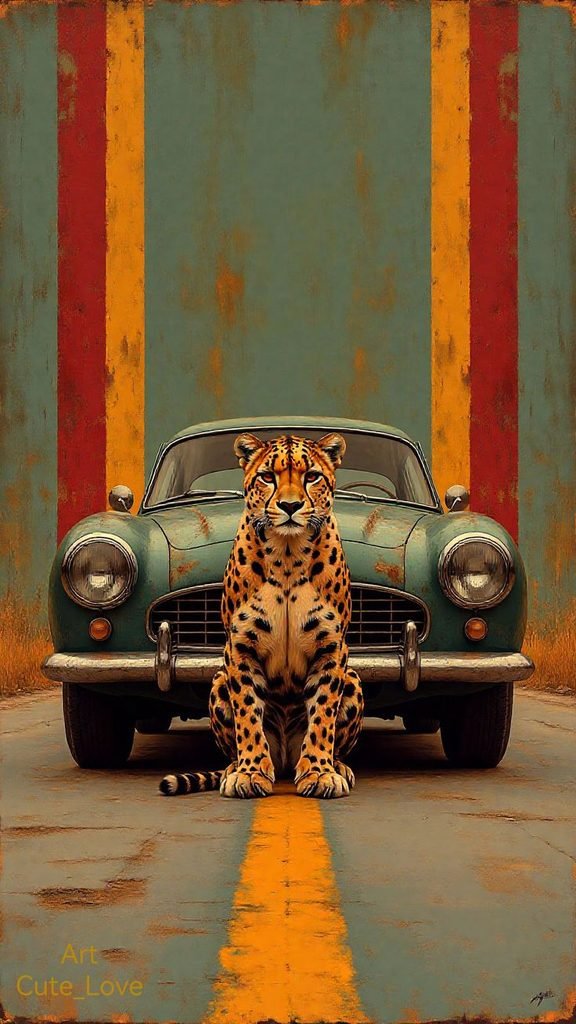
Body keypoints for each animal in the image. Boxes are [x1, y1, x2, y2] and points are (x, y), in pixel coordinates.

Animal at [160, 431, 364, 799]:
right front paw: (250, 772)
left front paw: (320, 772)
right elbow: (247, 714)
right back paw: (234, 768)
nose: (290, 506)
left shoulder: (332, 647)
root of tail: (284, 761)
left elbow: (323, 714)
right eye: (268, 477)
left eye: (311, 476)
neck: (288, 555)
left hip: (353, 678)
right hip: (218, 680)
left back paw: (338, 766)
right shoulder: (240, 646)